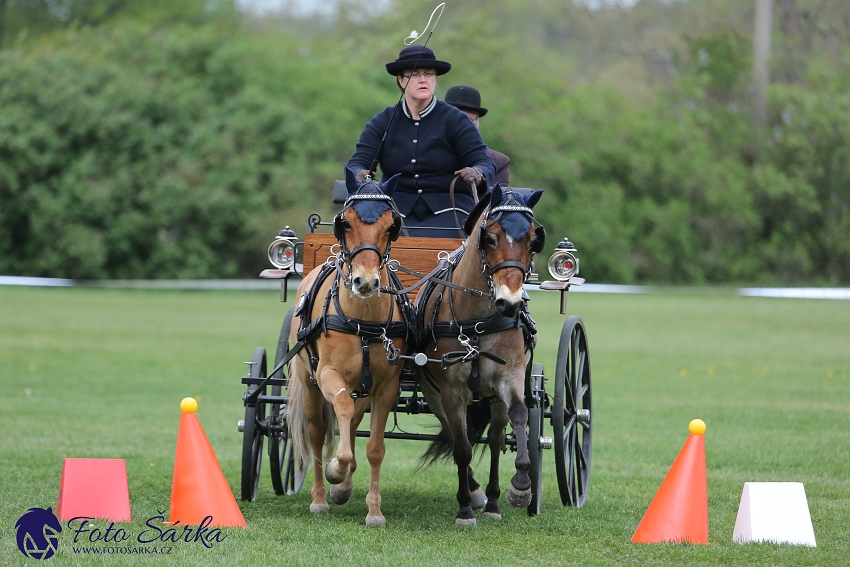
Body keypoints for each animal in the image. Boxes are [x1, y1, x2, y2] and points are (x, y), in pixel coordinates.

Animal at [286, 170, 410, 528]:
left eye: (391, 225)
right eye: (346, 223)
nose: (365, 282)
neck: (362, 321)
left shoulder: (387, 387)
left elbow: (375, 448)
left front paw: (374, 511)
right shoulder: (328, 374)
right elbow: (340, 409)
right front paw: (336, 469)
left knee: (354, 420)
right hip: (308, 381)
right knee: (317, 432)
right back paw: (320, 497)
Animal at [416, 187, 544, 528]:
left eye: (533, 239)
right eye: (490, 238)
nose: (510, 303)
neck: (476, 323)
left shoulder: (510, 377)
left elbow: (520, 415)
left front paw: (522, 485)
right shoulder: (450, 391)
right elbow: (462, 448)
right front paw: (464, 508)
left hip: (493, 400)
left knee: (497, 439)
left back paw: (494, 501)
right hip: (433, 394)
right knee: (455, 434)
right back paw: (474, 493)